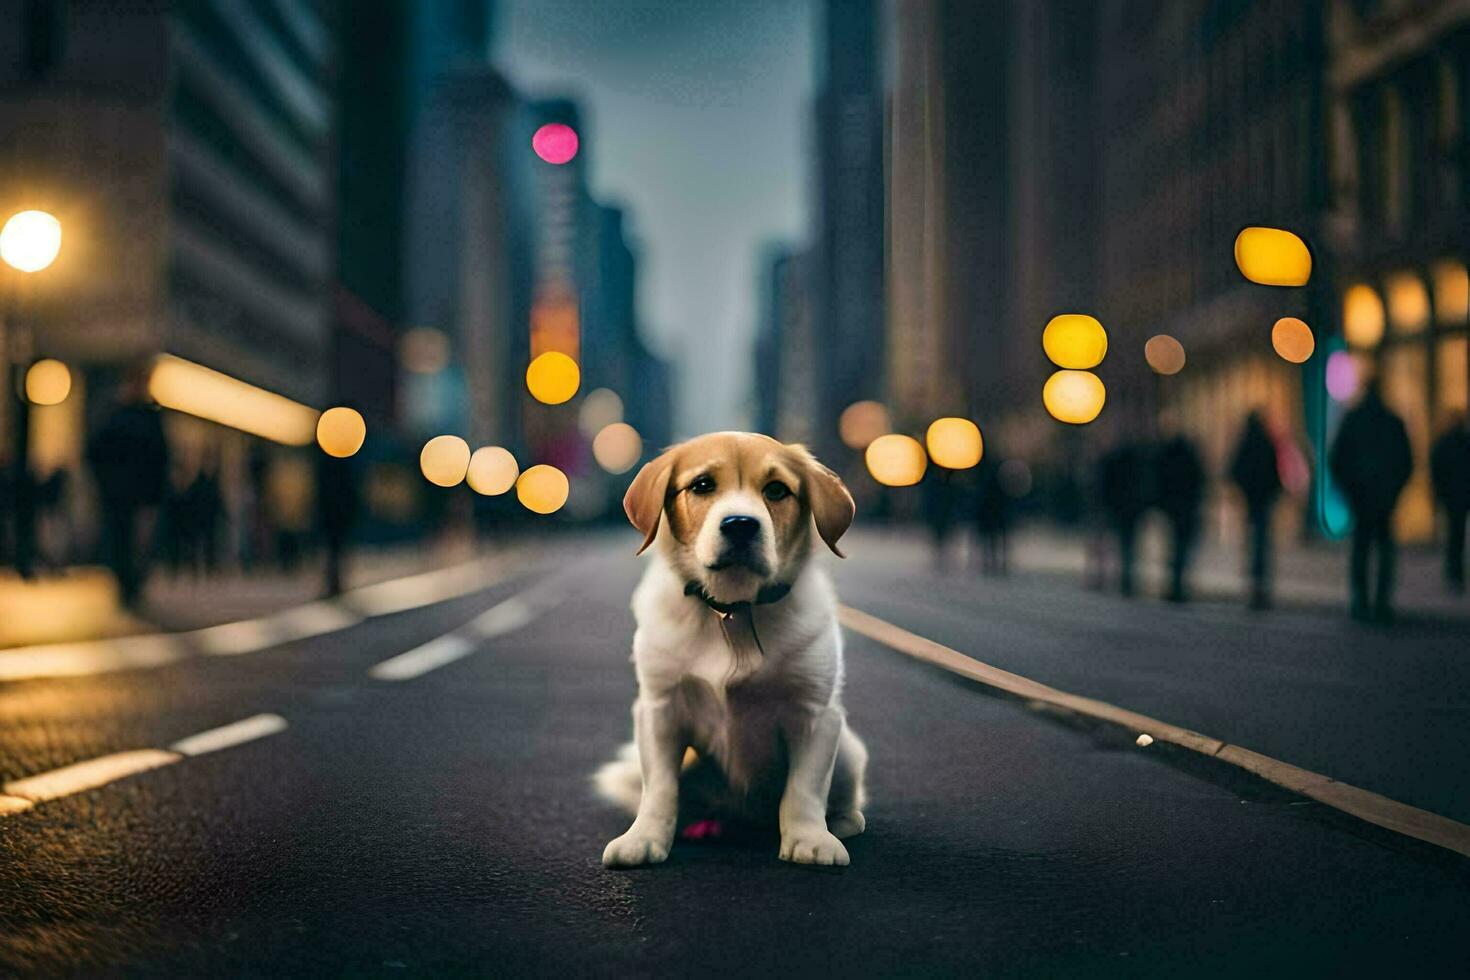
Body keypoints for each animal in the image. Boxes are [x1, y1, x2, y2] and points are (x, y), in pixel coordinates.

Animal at [596, 431, 864, 869]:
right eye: (703, 484)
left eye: (777, 490)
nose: (740, 525)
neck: (732, 610)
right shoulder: (659, 709)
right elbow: (660, 788)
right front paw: (644, 838)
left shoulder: (815, 714)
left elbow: (804, 789)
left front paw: (809, 839)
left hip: (849, 753)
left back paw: (842, 823)